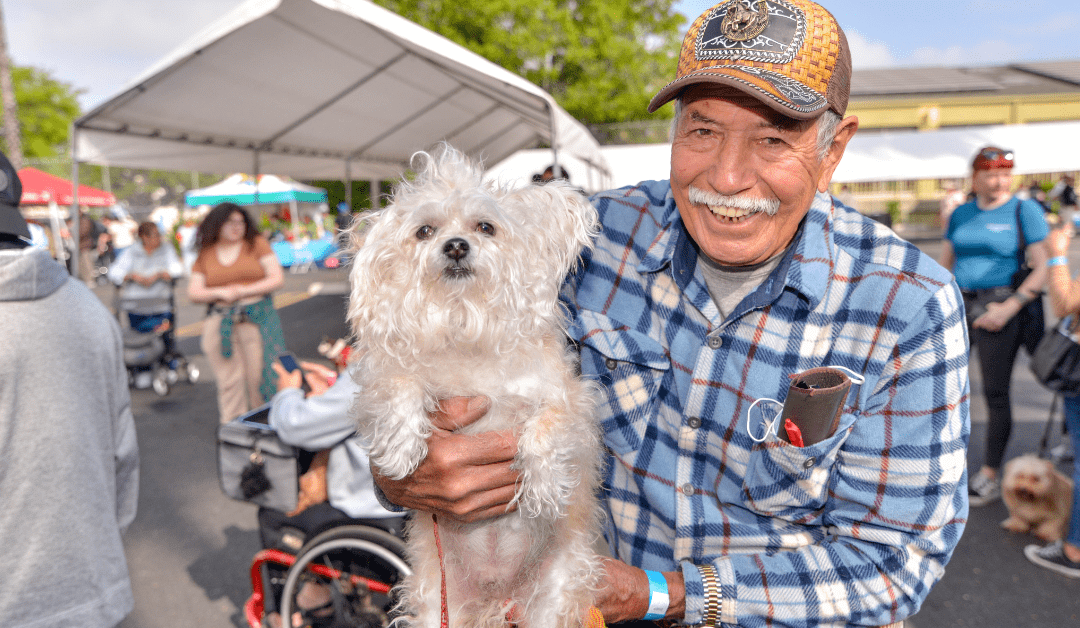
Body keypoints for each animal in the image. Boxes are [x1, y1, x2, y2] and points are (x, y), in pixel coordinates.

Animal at [347, 144, 604, 626]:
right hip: (435, 604)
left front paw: (543, 487)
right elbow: (400, 388)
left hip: (553, 598)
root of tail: (494, 600)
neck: (464, 317)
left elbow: (546, 428)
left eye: (485, 227)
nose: (455, 245)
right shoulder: (385, 380)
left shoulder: (571, 401)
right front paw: (401, 450)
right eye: (425, 231)